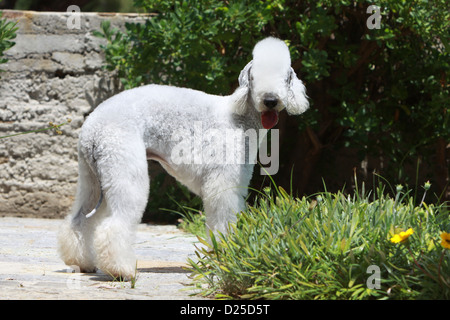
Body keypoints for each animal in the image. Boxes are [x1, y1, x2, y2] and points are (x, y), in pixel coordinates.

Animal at [56, 36, 310, 278]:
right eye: (254, 76)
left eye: (285, 77)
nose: (270, 100)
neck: (239, 117)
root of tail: (93, 128)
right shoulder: (223, 183)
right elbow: (223, 221)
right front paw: (226, 257)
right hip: (123, 164)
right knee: (115, 224)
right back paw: (121, 270)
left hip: (91, 176)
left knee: (79, 220)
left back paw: (82, 263)